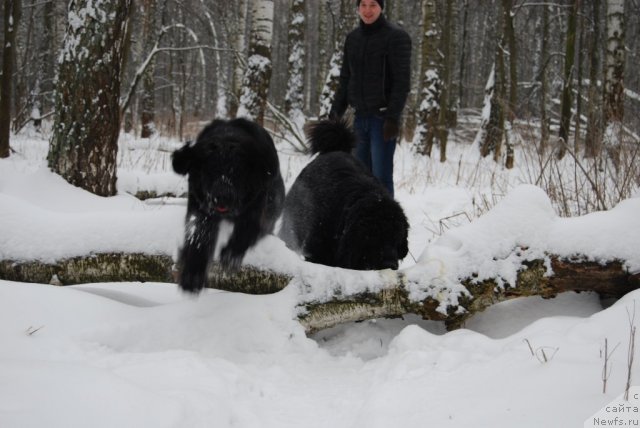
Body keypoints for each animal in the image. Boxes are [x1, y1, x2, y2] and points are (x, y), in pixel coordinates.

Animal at [171, 118, 284, 290]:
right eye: (209, 171)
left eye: (238, 172)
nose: (222, 197)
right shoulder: (200, 206)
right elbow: (199, 234)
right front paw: (192, 275)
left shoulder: (257, 208)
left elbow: (247, 229)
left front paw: (230, 256)